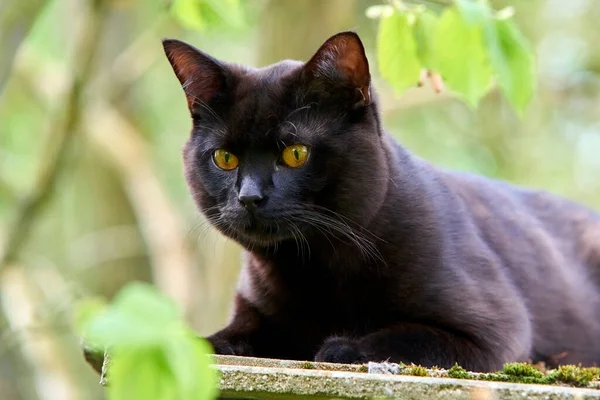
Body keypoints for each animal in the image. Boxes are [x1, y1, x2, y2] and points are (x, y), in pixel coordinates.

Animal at [161, 31, 600, 372]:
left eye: (296, 154)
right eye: (224, 158)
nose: (249, 196)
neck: (311, 271)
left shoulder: (496, 331)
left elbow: (409, 336)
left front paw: (343, 346)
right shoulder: (255, 309)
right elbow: (223, 336)